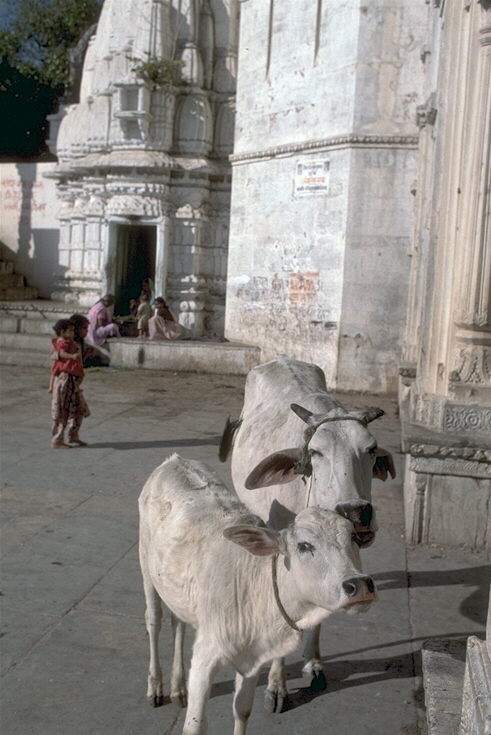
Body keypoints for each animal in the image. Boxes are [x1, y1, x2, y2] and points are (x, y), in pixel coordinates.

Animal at [138, 454, 376, 735]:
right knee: (154, 620)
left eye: (352, 537)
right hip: (146, 568)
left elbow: (242, 710)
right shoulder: (206, 656)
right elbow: (194, 727)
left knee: (178, 623)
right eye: (304, 546)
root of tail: (174, 460)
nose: (358, 584)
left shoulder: (254, 657)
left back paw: (178, 688)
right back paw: (156, 687)